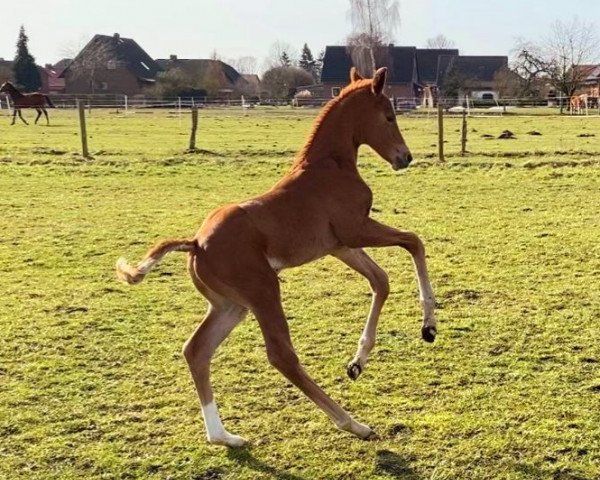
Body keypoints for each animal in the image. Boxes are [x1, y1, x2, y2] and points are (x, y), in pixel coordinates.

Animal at [116, 66, 436, 446]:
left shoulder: (339, 245)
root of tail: (195, 243)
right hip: (264, 291)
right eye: (389, 116)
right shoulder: (356, 229)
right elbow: (414, 242)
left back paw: (224, 437)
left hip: (231, 305)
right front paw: (429, 325)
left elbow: (381, 281)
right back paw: (351, 423)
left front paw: (358, 362)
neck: (329, 167)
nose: (405, 157)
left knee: (196, 350)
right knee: (281, 355)